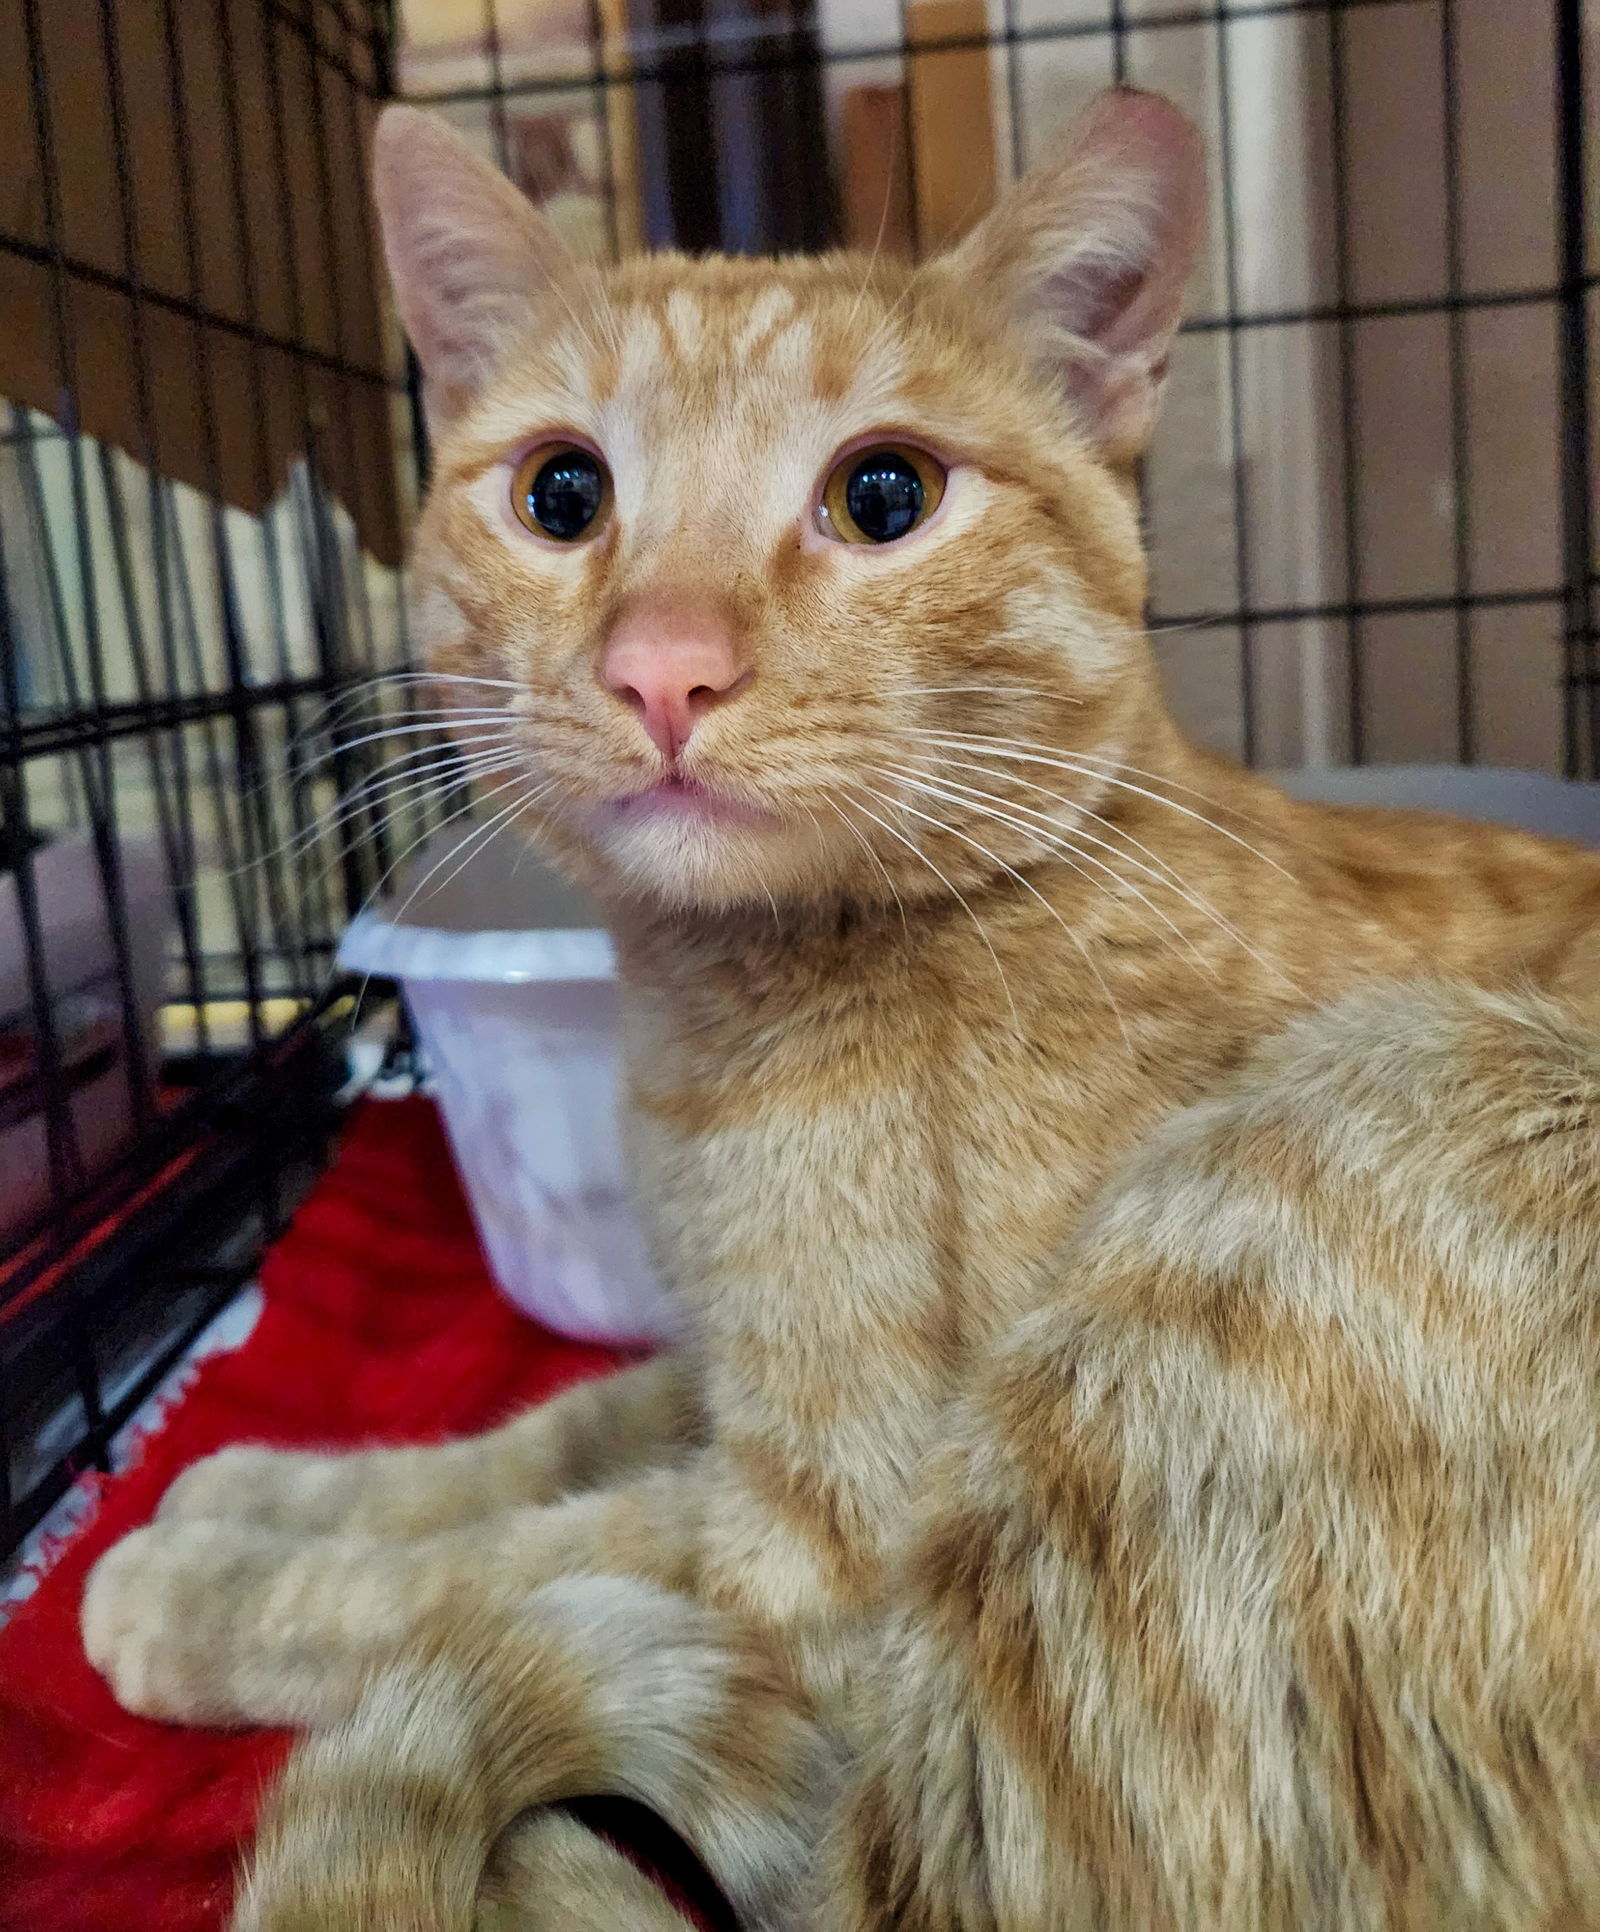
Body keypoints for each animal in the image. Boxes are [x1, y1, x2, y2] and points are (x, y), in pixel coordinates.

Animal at [84, 90, 1600, 1932]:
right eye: (562, 490)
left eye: (886, 493)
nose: (664, 664)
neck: (737, 1010)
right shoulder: (717, 1377)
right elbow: (537, 1435)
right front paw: (267, 1482)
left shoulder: (814, 1549)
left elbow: (477, 1572)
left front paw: (201, 1585)